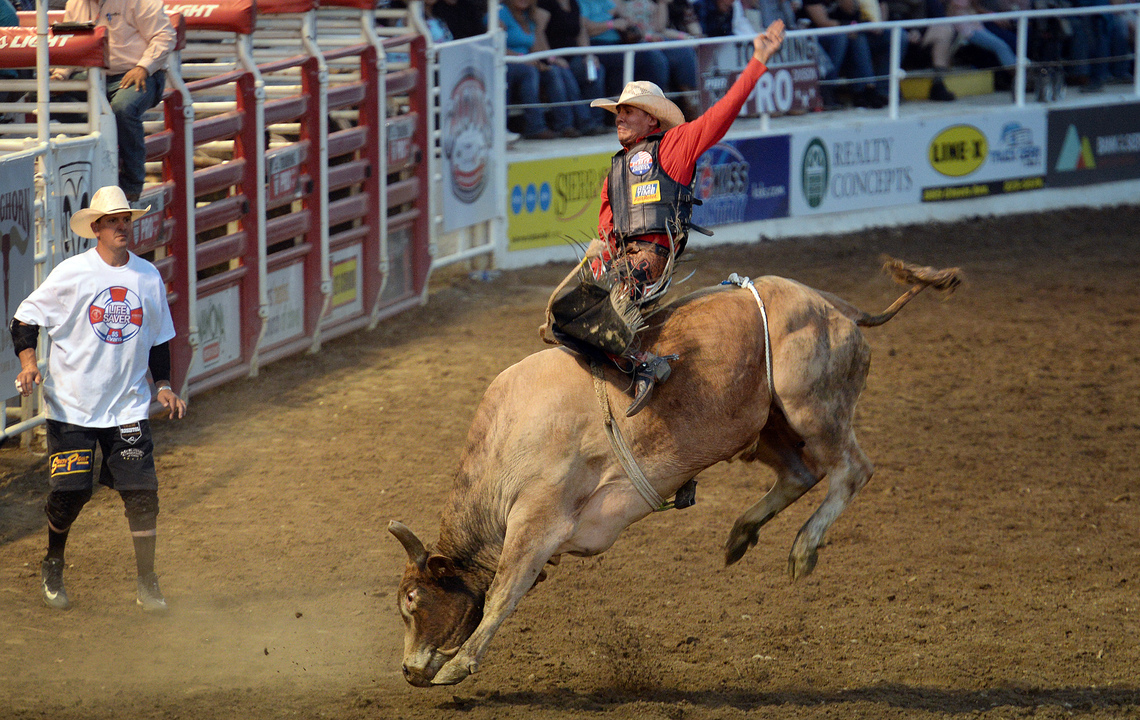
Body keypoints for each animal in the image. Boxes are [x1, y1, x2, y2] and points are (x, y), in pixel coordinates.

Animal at [387, 258, 957, 688]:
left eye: (412, 600)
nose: (409, 671)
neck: (505, 447)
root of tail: (834, 305)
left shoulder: (537, 518)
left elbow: (503, 592)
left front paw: (459, 666)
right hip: (764, 425)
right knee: (800, 474)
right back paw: (741, 533)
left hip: (812, 406)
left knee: (852, 471)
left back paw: (803, 548)